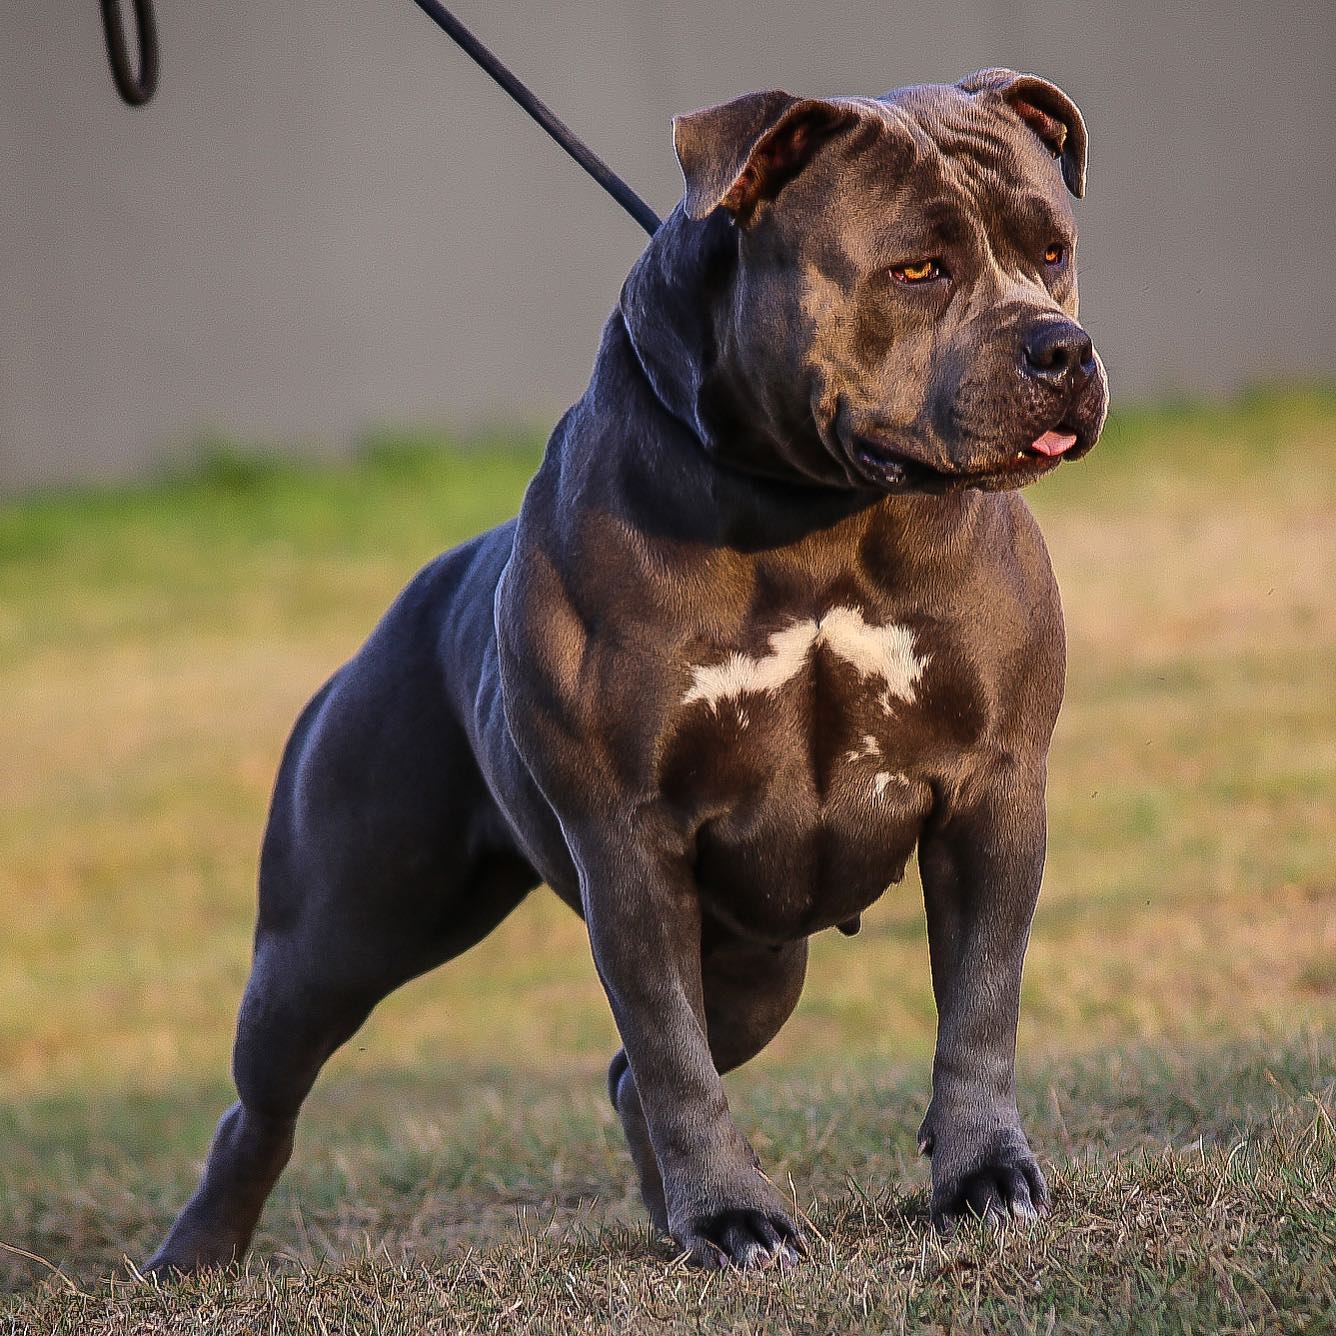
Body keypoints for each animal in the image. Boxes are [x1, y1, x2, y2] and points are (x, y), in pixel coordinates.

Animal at [143, 65, 1106, 1271]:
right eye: (916, 269)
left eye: (1052, 250)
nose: (1062, 350)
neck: (814, 514)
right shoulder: (630, 842)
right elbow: (670, 1054)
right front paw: (733, 1215)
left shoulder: (993, 788)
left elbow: (978, 1002)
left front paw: (983, 1172)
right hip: (332, 934)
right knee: (265, 1100)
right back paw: (196, 1252)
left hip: (754, 968)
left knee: (624, 1077)